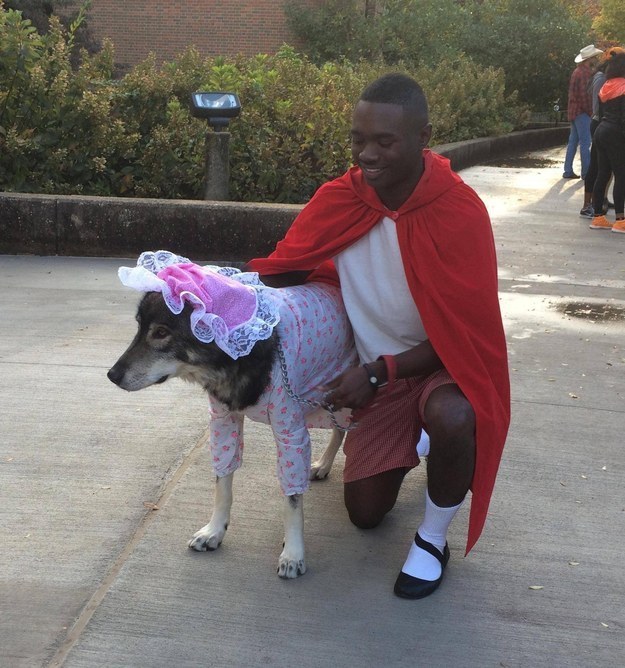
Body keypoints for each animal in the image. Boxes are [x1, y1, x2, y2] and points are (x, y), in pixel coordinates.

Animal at [108, 253, 356, 576]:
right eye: (139, 328)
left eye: (161, 333)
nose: (112, 375)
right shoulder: (223, 423)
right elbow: (223, 484)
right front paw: (214, 531)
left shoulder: (291, 433)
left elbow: (291, 501)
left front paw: (293, 553)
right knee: (339, 429)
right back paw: (324, 464)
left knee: (342, 428)